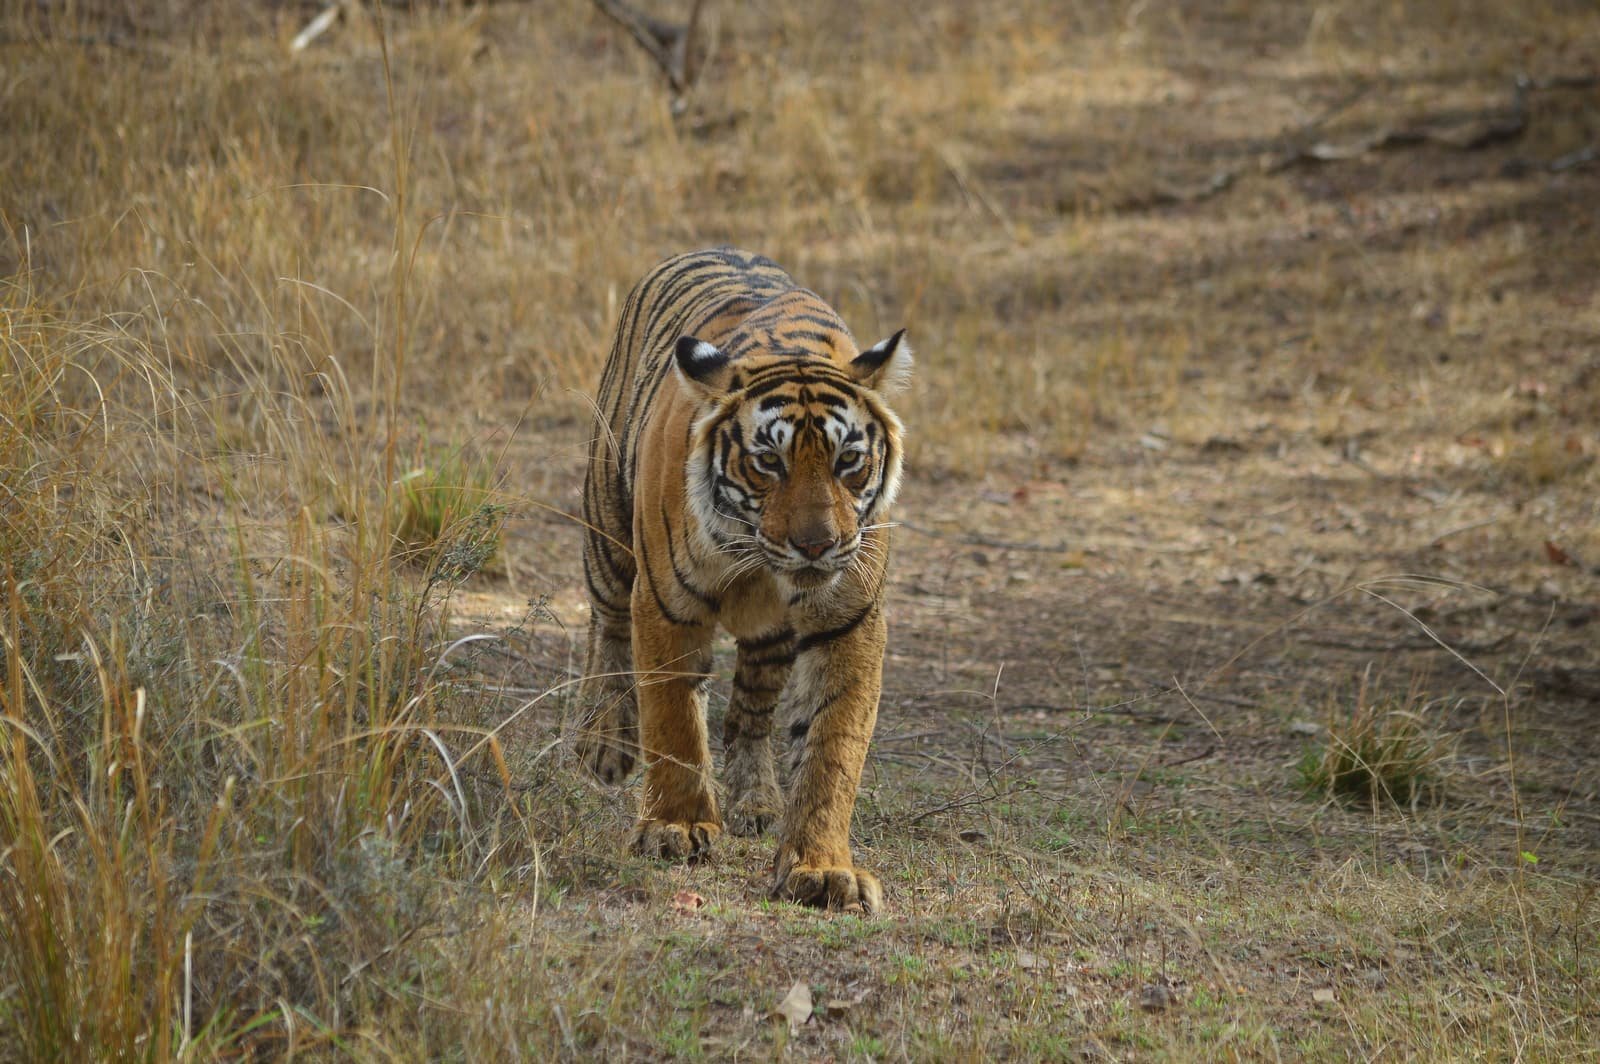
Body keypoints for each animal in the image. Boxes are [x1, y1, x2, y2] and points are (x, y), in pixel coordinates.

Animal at [574, 246, 911, 914]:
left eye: (848, 461)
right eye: (768, 463)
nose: (817, 545)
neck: (760, 562)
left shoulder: (849, 621)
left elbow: (833, 748)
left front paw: (822, 868)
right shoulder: (666, 604)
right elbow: (673, 719)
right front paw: (675, 828)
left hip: (771, 639)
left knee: (751, 713)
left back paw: (756, 800)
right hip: (609, 536)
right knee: (608, 629)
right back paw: (607, 743)